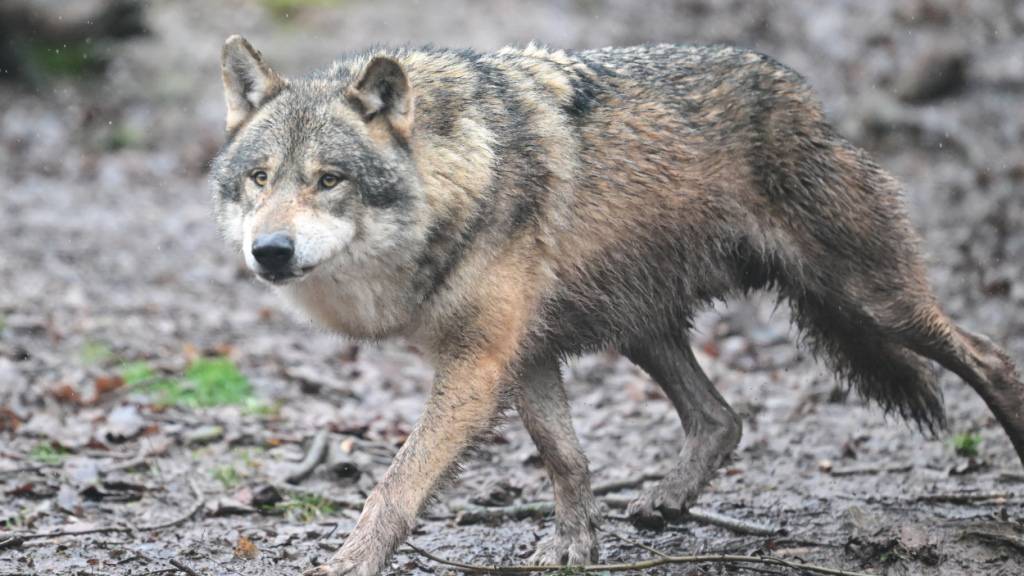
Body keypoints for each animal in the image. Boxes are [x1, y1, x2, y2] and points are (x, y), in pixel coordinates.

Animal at [210, 36, 1024, 575]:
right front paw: (576, 545)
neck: (459, 178)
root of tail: (804, 96)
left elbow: (397, 483)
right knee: (722, 418)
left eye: (330, 179)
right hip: (642, 327)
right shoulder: (526, 353)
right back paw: (666, 500)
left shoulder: (478, 363)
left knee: (991, 357)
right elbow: (565, 457)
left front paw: (350, 560)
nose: (269, 250)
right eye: (260, 177)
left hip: (871, 301)